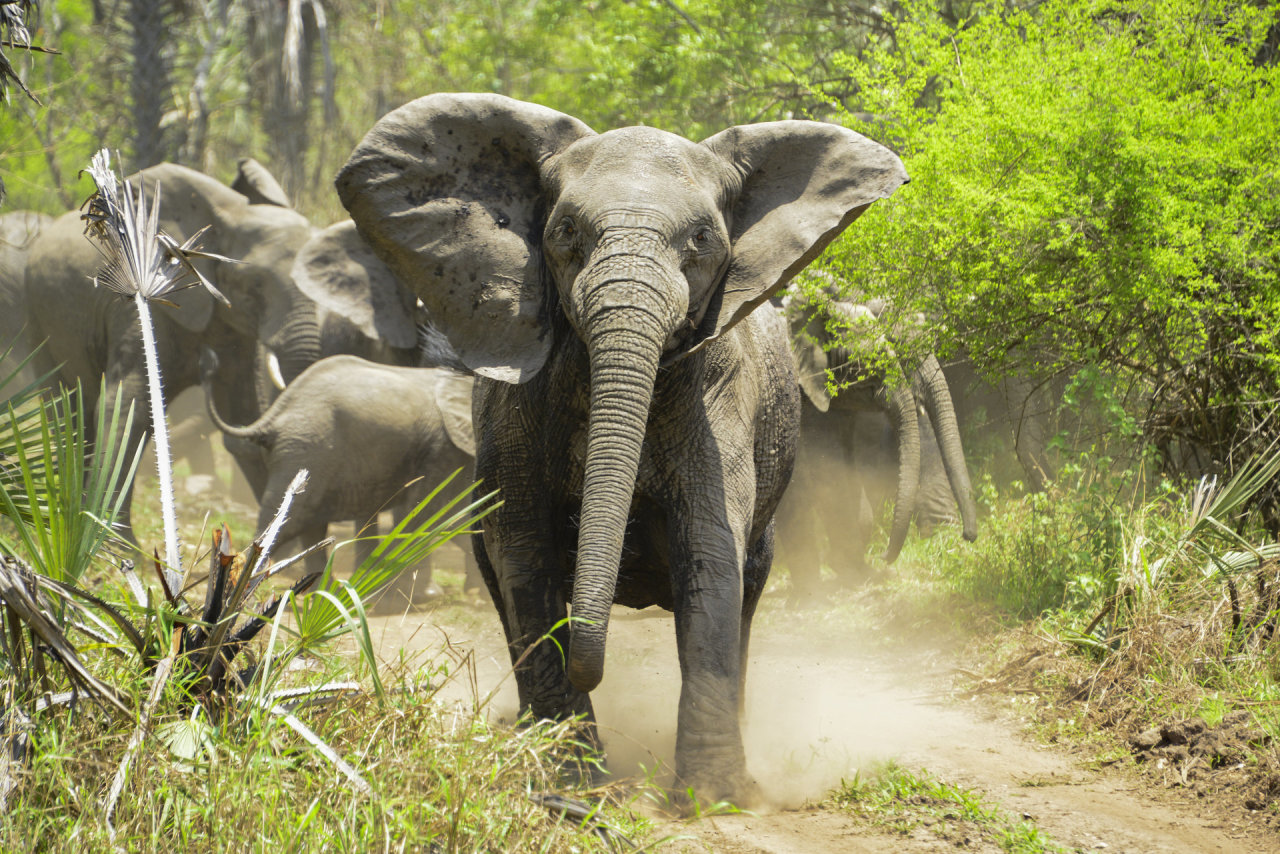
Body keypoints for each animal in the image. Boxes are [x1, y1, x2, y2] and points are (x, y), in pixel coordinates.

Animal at [20, 158, 322, 547]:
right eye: (254, 284)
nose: (208, 365)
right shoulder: (137, 309)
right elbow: (126, 407)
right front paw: (118, 548)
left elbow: (242, 413)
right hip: (37, 315)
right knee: (67, 408)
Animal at [202, 353, 478, 606]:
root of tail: (275, 414)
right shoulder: (441, 446)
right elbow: (431, 511)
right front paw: (421, 596)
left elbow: (459, 512)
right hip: (307, 448)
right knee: (290, 522)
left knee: (310, 525)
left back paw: (325, 593)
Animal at [307, 95, 911, 809]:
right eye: (565, 230)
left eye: (702, 240)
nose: (589, 670)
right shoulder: (519, 408)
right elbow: (524, 556)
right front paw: (569, 787)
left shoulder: (718, 397)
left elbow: (710, 548)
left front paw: (713, 799)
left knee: (749, 587)